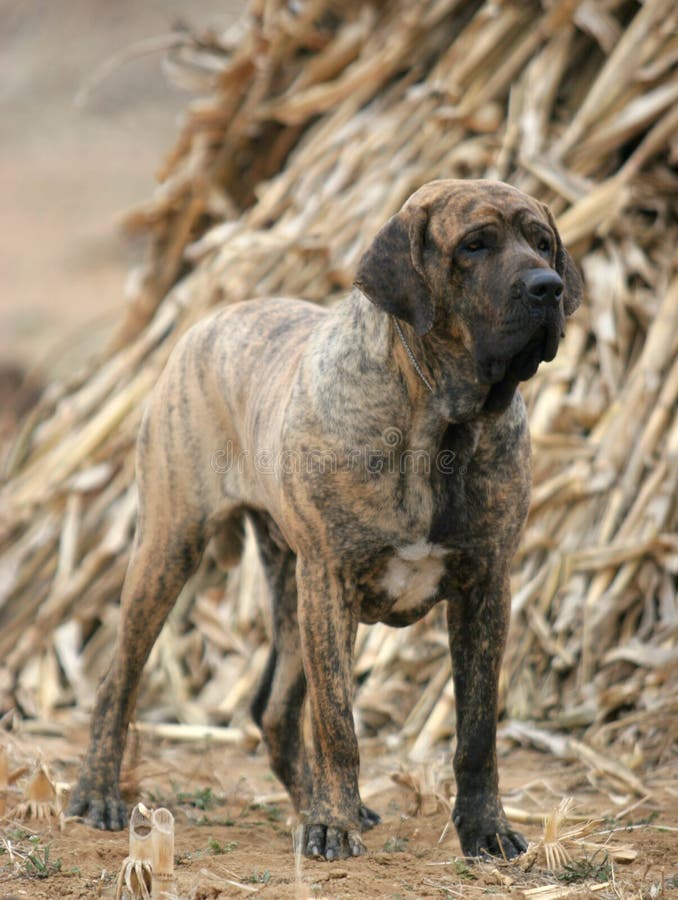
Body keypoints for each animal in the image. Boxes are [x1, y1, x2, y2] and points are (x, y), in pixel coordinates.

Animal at [69, 179, 584, 860]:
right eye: (474, 245)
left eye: (543, 241)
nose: (547, 286)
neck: (439, 423)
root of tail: (208, 319)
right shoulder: (332, 581)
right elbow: (338, 723)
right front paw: (333, 825)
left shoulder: (486, 584)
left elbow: (478, 730)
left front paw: (485, 829)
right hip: (172, 550)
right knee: (117, 680)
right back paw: (99, 795)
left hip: (292, 593)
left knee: (274, 710)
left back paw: (312, 803)